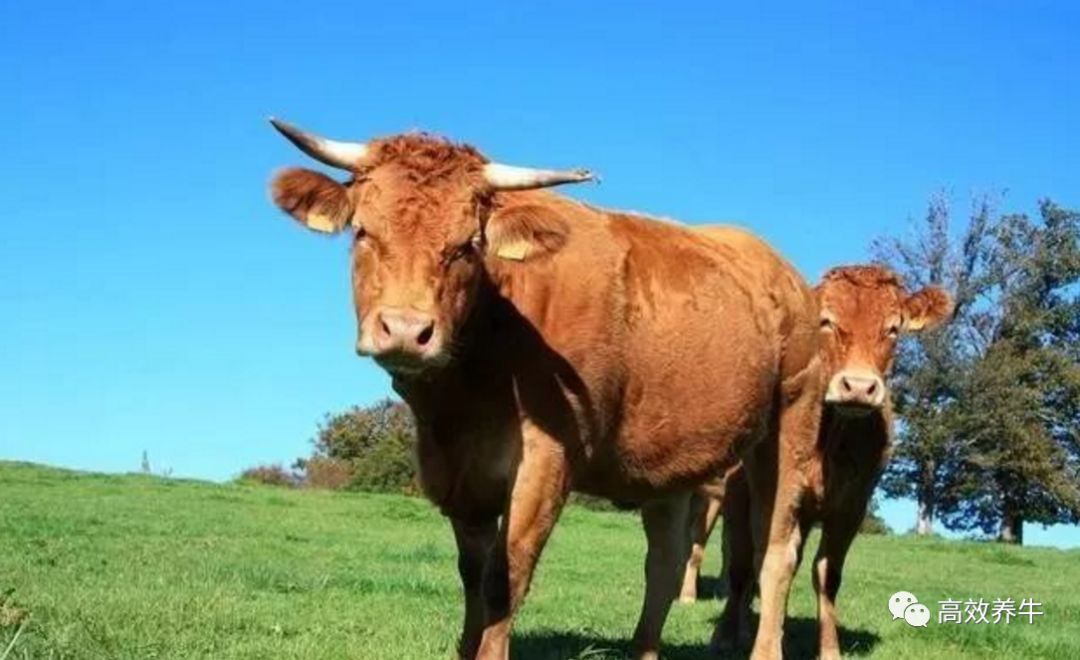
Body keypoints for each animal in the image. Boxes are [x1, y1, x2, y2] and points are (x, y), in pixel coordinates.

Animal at [267, 119, 816, 660]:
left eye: (467, 246)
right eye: (363, 232)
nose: (405, 330)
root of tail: (785, 272)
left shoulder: (547, 457)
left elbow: (503, 578)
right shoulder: (460, 474)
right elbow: (471, 574)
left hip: (791, 423)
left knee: (775, 550)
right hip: (674, 455)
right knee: (664, 560)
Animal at [678, 264, 950, 660]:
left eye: (892, 328)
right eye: (826, 321)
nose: (858, 387)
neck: (829, 439)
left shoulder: (852, 504)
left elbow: (826, 573)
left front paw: (828, 649)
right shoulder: (774, 491)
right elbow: (771, 563)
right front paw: (763, 648)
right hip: (730, 496)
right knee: (733, 560)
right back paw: (725, 629)